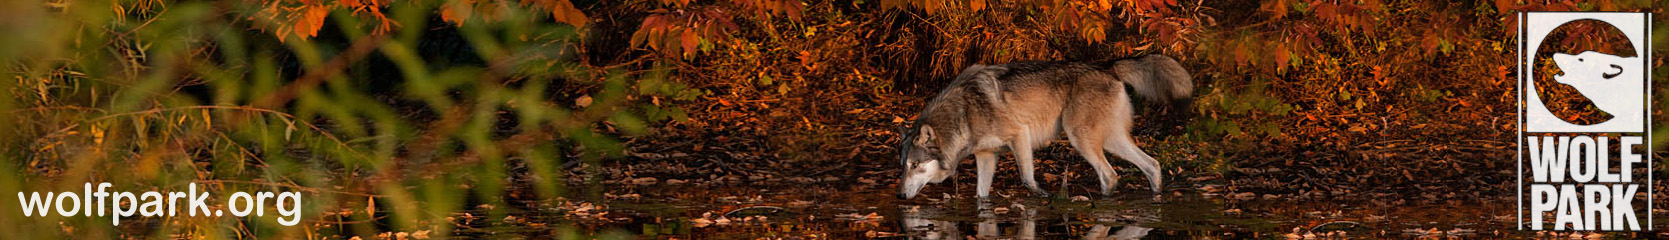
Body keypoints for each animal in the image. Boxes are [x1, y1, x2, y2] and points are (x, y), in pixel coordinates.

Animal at [894, 54, 1195, 198]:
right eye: (903, 167)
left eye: (915, 165)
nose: (900, 195)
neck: (963, 112)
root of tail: (1108, 65)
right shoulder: (986, 155)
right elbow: (981, 195)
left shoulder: (1020, 136)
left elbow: (1027, 179)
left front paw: (1043, 196)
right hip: (1111, 141)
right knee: (1152, 165)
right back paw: (1156, 197)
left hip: (1081, 139)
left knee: (1110, 175)